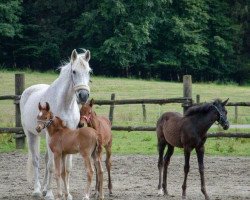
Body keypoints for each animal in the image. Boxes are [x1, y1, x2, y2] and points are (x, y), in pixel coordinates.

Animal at [20, 48, 91, 200]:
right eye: (74, 71)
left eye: (89, 71)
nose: (83, 95)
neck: (64, 103)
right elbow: (52, 166)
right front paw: (50, 194)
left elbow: (67, 168)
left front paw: (67, 194)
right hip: (31, 135)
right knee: (36, 160)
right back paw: (38, 190)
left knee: (46, 160)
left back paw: (44, 189)